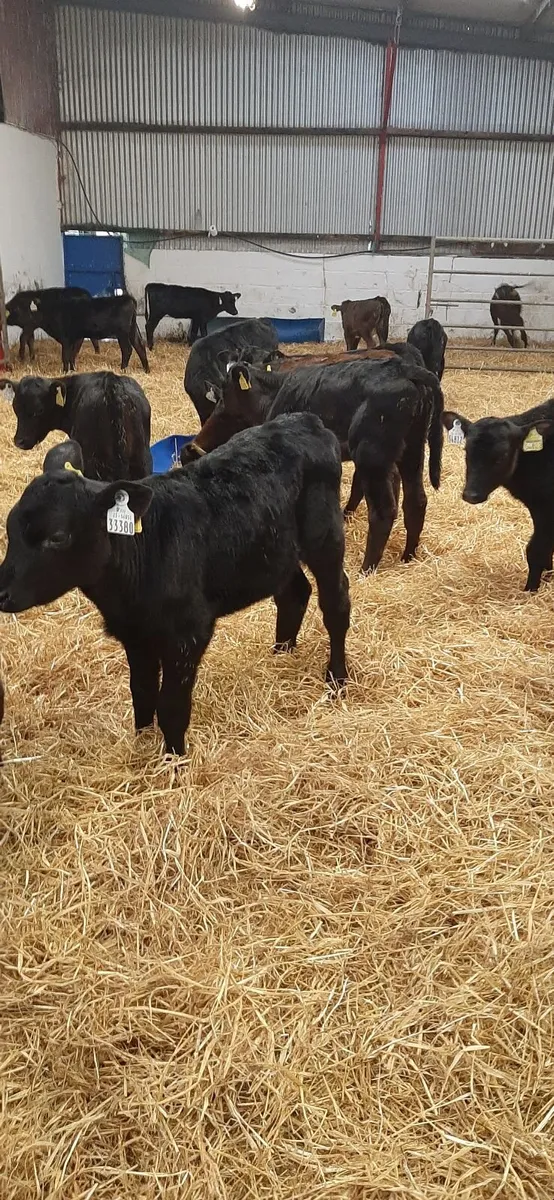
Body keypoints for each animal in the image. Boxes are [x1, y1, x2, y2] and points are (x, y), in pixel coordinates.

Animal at [0, 414, 350, 755]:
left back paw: (337, 679)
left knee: (336, 603)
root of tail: (305, 421)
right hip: (277, 551)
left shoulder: (187, 634)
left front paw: (174, 760)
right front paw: (141, 747)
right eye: (10, 525)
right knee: (294, 593)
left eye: (57, 537)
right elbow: (141, 694)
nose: (1, 593)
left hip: (325, 538)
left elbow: (171, 706)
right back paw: (281, 655)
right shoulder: (135, 635)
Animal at [185, 357, 443, 573]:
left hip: (373, 456)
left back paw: (366, 570)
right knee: (416, 501)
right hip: (411, 450)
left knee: (383, 511)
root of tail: (405, 368)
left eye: (225, 394)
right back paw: (408, 557)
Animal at [443, 401, 554, 592]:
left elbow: (536, 550)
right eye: (466, 451)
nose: (471, 495)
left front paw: (530, 590)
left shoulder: (546, 508)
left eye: (502, 455)